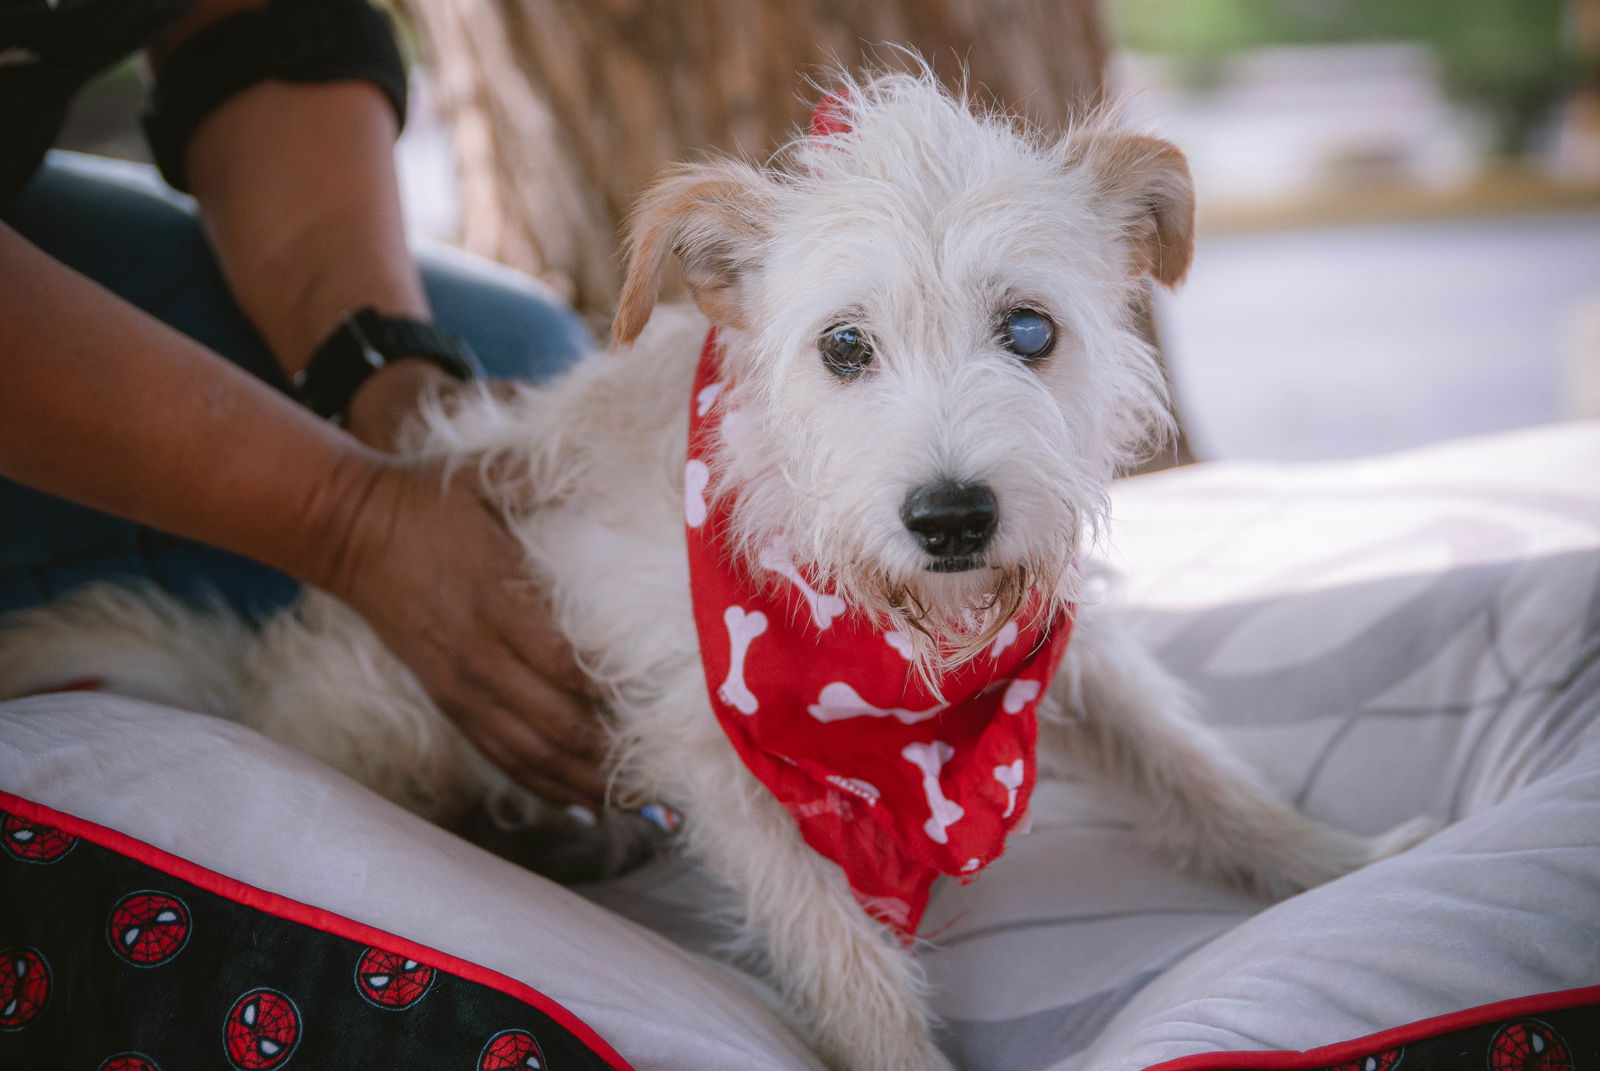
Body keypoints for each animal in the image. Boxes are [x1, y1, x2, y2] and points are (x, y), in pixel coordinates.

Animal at [0, 73, 1427, 1069]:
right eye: (843, 347)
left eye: (1031, 331)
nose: (951, 518)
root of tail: (253, 688)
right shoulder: (710, 741)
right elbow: (838, 950)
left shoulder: (1060, 653)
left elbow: (1195, 769)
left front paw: (1340, 863)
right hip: (383, 720)